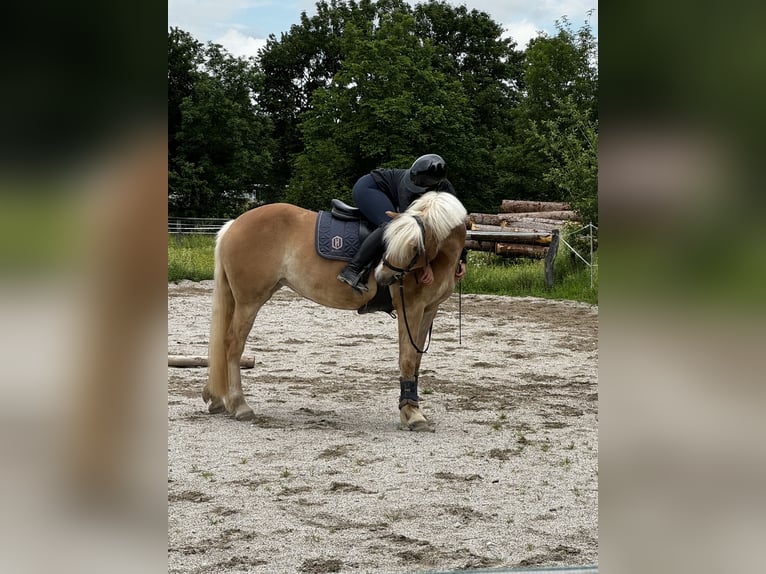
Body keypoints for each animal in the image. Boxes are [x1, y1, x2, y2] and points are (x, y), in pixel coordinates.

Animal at [202, 192, 468, 432]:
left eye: (414, 246)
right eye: (391, 241)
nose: (382, 277)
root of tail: (234, 224)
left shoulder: (428, 310)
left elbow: (417, 361)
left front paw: (410, 408)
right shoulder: (410, 308)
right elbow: (408, 359)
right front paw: (412, 415)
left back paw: (217, 399)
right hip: (249, 301)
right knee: (233, 345)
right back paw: (239, 405)